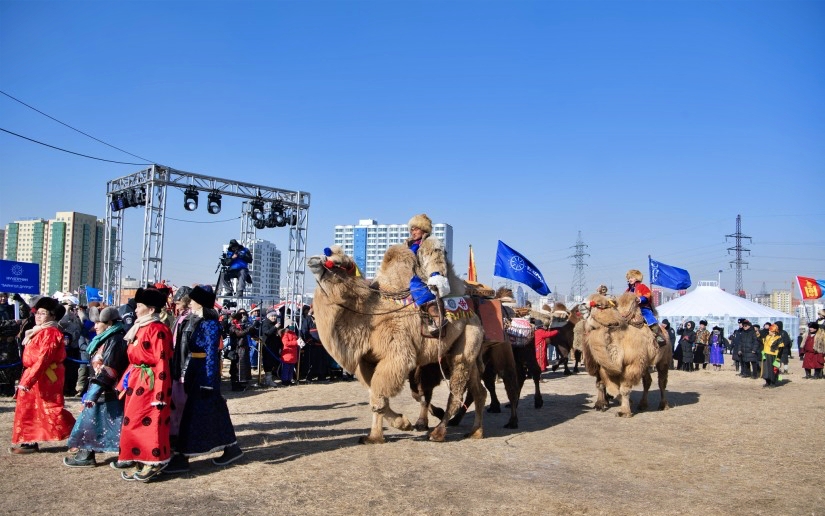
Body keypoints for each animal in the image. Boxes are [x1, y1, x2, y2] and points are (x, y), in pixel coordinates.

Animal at [310, 246, 490, 444]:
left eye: (337, 263)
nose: (313, 260)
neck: (369, 316)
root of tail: (473, 314)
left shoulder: (396, 355)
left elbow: (378, 396)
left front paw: (390, 429)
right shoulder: (367, 362)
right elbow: (376, 395)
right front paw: (386, 431)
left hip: (466, 342)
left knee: (456, 389)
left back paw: (438, 433)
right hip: (468, 353)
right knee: (479, 391)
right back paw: (476, 432)